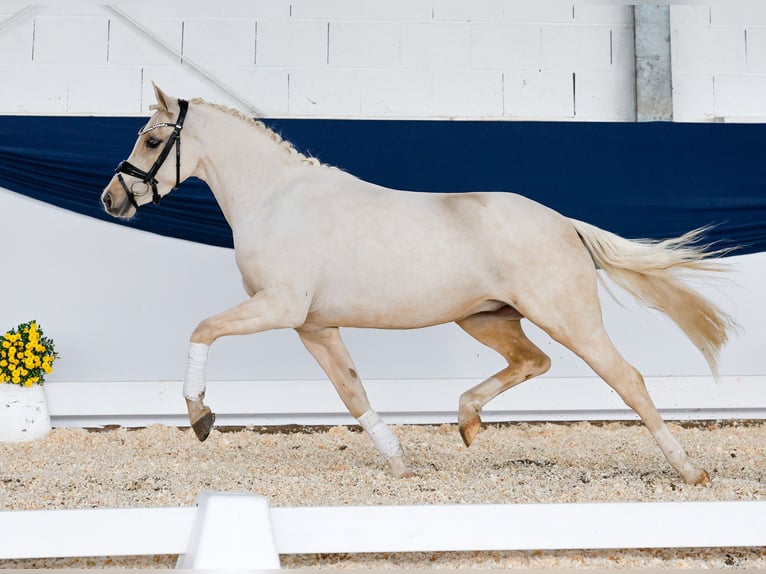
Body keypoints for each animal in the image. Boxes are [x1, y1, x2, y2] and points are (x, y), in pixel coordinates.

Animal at [102, 88, 732, 488]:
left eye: (153, 140)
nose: (112, 199)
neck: (277, 200)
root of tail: (563, 223)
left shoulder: (279, 307)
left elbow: (202, 328)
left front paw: (200, 416)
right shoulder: (314, 325)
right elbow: (352, 392)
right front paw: (401, 465)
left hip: (568, 318)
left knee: (628, 380)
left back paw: (692, 473)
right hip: (486, 318)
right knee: (533, 361)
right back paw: (467, 422)